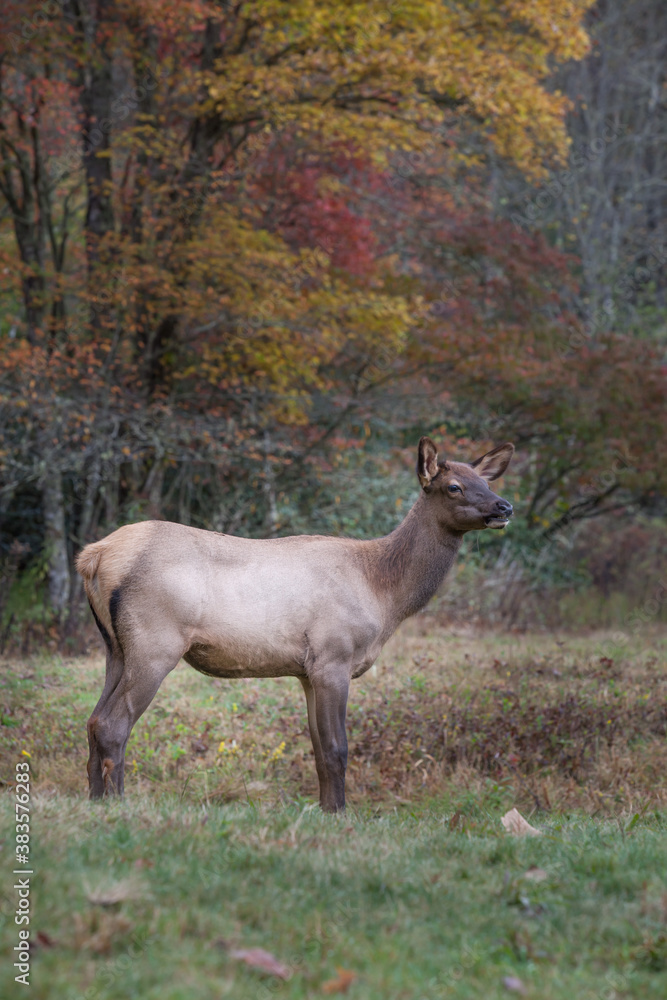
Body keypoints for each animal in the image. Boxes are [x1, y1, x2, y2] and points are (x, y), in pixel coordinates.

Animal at [76, 436, 514, 812]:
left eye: (487, 481)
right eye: (454, 487)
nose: (504, 507)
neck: (384, 594)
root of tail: (93, 555)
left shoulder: (306, 672)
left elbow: (319, 751)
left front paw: (324, 810)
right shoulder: (333, 657)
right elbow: (338, 749)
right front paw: (340, 814)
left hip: (116, 647)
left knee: (94, 720)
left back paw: (95, 801)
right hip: (155, 641)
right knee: (114, 724)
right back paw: (117, 803)